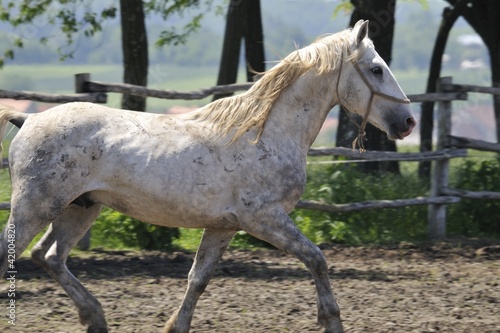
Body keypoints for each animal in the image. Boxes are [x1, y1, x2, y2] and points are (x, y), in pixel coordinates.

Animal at [0, 21, 414, 332]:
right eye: (376, 69)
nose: (408, 122)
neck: (265, 133)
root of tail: (29, 118)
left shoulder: (223, 226)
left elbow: (198, 279)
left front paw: (175, 326)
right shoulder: (265, 219)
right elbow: (317, 259)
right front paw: (331, 321)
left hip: (80, 207)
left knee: (49, 256)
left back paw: (95, 318)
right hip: (35, 206)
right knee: (17, 253)